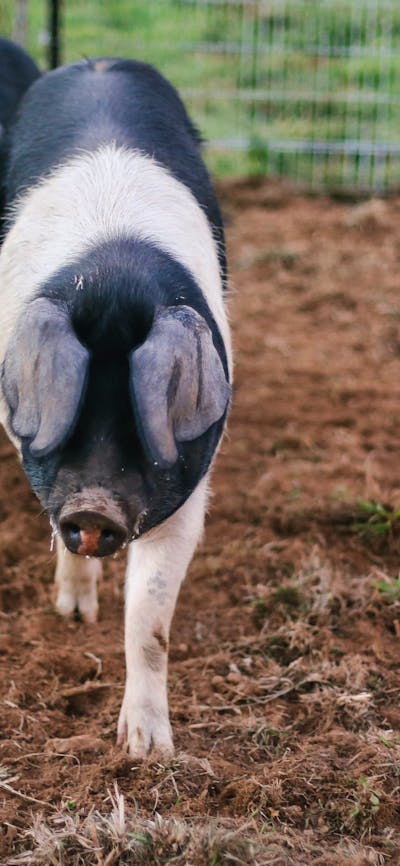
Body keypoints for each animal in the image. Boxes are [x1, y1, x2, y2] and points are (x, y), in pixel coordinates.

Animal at [0, 58, 232, 758]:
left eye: (139, 424)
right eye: (72, 420)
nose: (93, 508)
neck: (111, 279)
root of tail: (97, 64)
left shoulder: (189, 487)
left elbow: (150, 620)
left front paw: (147, 752)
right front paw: (74, 618)